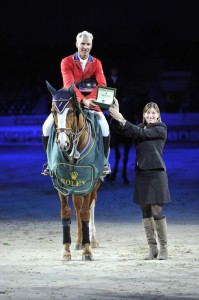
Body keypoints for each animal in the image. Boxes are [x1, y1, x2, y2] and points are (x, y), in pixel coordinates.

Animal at [45, 81, 104, 262]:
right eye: (53, 111)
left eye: (71, 111)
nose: (63, 143)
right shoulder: (60, 183)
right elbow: (67, 212)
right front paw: (66, 250)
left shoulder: (89, 180)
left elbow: (85, 212)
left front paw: (87, 251)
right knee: (77, 206)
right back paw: (78, 241)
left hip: (95, 183)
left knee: (91, 205)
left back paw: (92, 240)